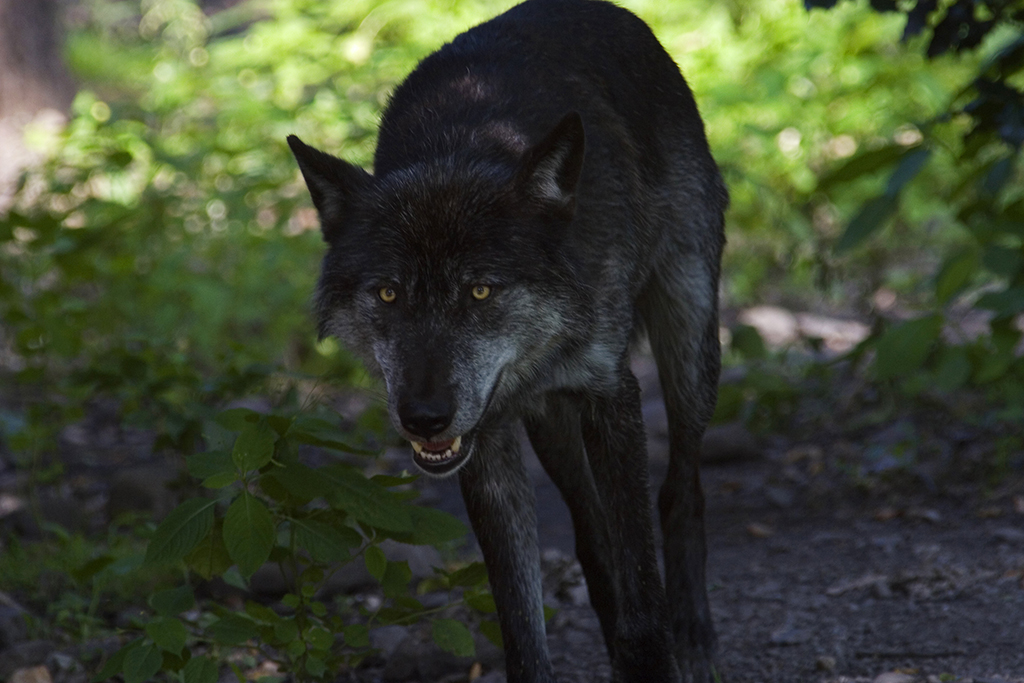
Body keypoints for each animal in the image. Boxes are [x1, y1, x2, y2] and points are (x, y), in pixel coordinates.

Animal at [288, 2, 729, 679]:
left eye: (480, 292)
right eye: (388, 294)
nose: (423, 418)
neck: (462, 153)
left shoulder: (612, 398)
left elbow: (642, 590)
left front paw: (657, 650)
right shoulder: (488, 440)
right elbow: (522, 622)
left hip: (689, 342)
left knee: (682, 489)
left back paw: (696, 636)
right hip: (551, 425)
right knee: (592, 539)